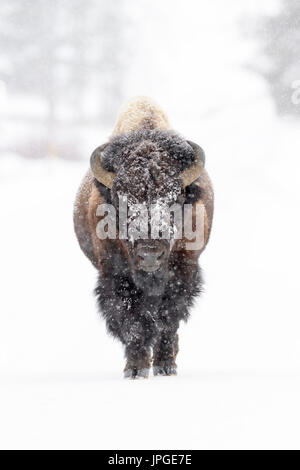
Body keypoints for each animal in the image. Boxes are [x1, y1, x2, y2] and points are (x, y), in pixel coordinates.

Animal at [73, 96, 213, 378]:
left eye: (175, 198)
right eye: (121, 199)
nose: (149, 254)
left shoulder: (184, 271)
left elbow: (168, 318)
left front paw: (165, 365)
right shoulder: (115, 276)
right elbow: (132, 321)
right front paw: (136, 369)